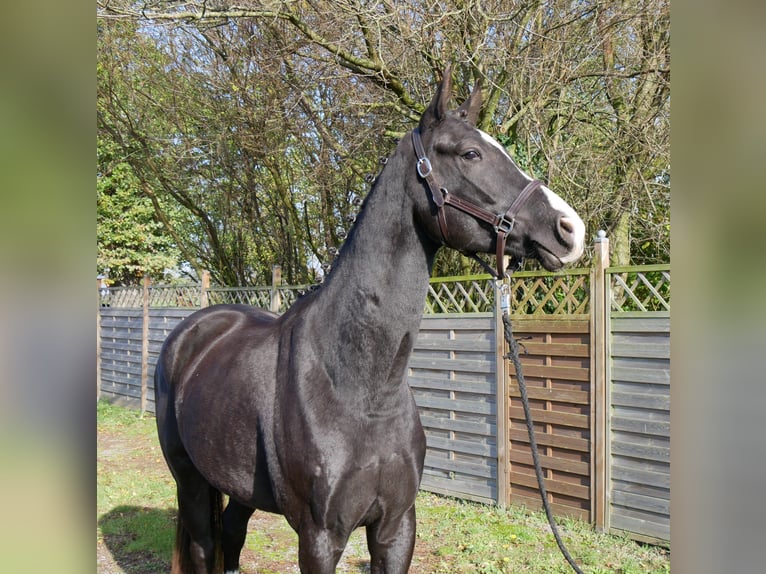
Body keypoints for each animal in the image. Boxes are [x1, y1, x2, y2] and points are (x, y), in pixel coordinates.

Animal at [158, 68, 588, 574]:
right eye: (470, 153)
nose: (571, 230)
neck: (360, 389)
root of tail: (193, 331)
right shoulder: (320, 537)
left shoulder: (396, 526)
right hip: (189, 479)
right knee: (205, 544)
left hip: (239, 486)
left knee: (232, 535)